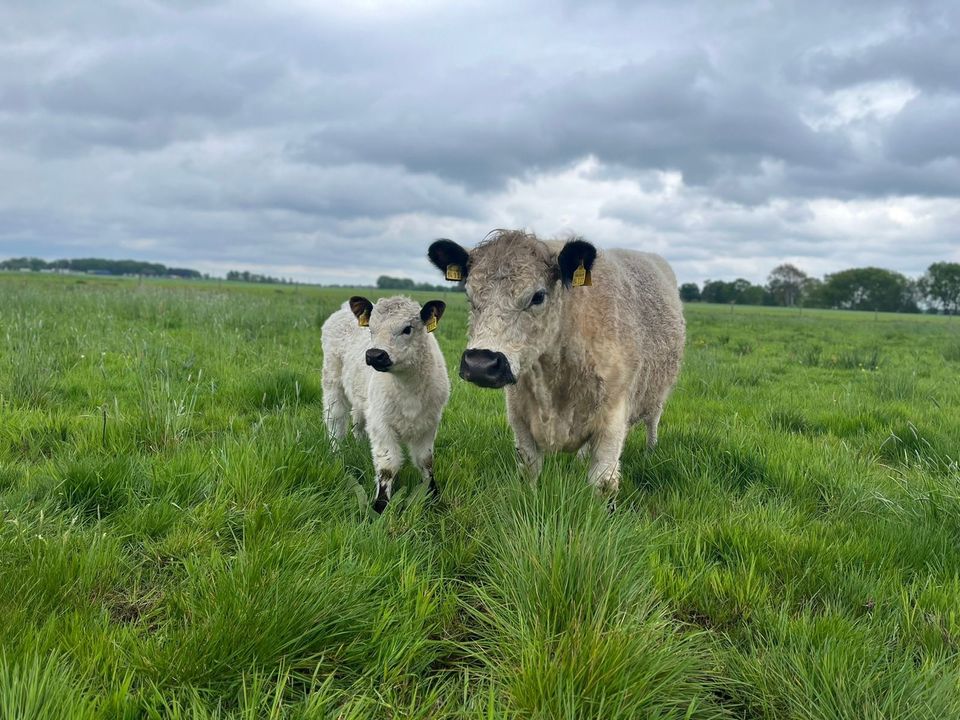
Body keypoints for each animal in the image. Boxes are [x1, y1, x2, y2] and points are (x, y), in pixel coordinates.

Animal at [318, 296, 446, 512]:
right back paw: (337, 454)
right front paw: (381, 506)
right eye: (371, 329)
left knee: (358, 424)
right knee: (335, 422)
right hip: (332, 383)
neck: (407, 389)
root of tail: (343, 309)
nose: (374, 355)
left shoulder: (429, 423)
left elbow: (426, 461)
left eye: (407, 329)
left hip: (362, 399)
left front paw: (433, 495)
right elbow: (387, 466)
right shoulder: (381, 424)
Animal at [428, 231, 684, 500]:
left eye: (538, 296)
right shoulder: (520, 420)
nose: (480, 363)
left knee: (652, 422)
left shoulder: (613, 422)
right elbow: (529, 471)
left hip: (657, 395)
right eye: (469, 295)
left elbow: (602, 484)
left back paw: (650, 451)